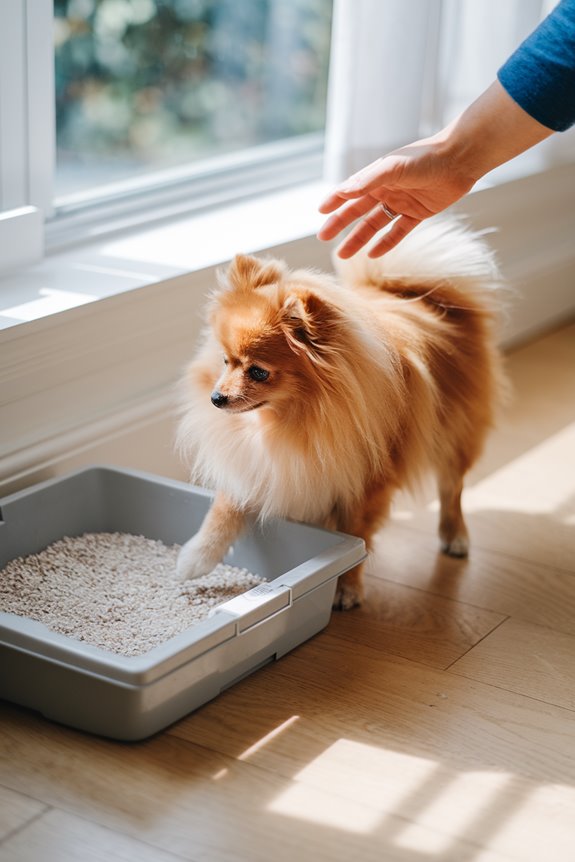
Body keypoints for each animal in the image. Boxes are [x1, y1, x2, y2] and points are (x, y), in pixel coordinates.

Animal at [176, 218, 504, 608]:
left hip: (454, 435)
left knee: (452, 488)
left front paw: (347, 587)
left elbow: (355, 537)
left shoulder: (365, 484)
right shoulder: (258, 465)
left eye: (258, 372)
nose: (216, 398)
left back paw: (454, 535)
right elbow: (225, 506)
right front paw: (194, 558)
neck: (290, 422)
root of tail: (421, 294)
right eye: (225, 361)